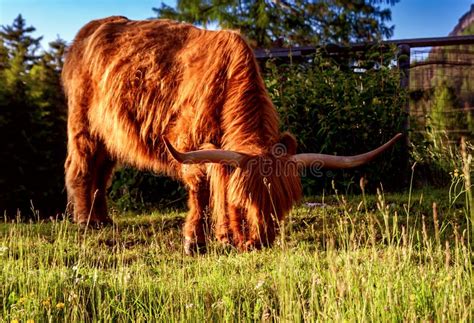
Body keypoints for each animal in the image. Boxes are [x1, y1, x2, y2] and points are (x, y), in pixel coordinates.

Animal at [61, 17, 398, 256]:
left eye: (282, 204)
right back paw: (86, 221)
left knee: (101, 173)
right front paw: (195, 242)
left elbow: (219, 185)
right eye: (244, 200)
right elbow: (202, 190)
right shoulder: (189, 143)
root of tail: (89, 29)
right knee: (81, 168)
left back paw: (102, 219)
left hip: (109, 134)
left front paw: (224, 238)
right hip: (83, 124)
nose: (259, 242)